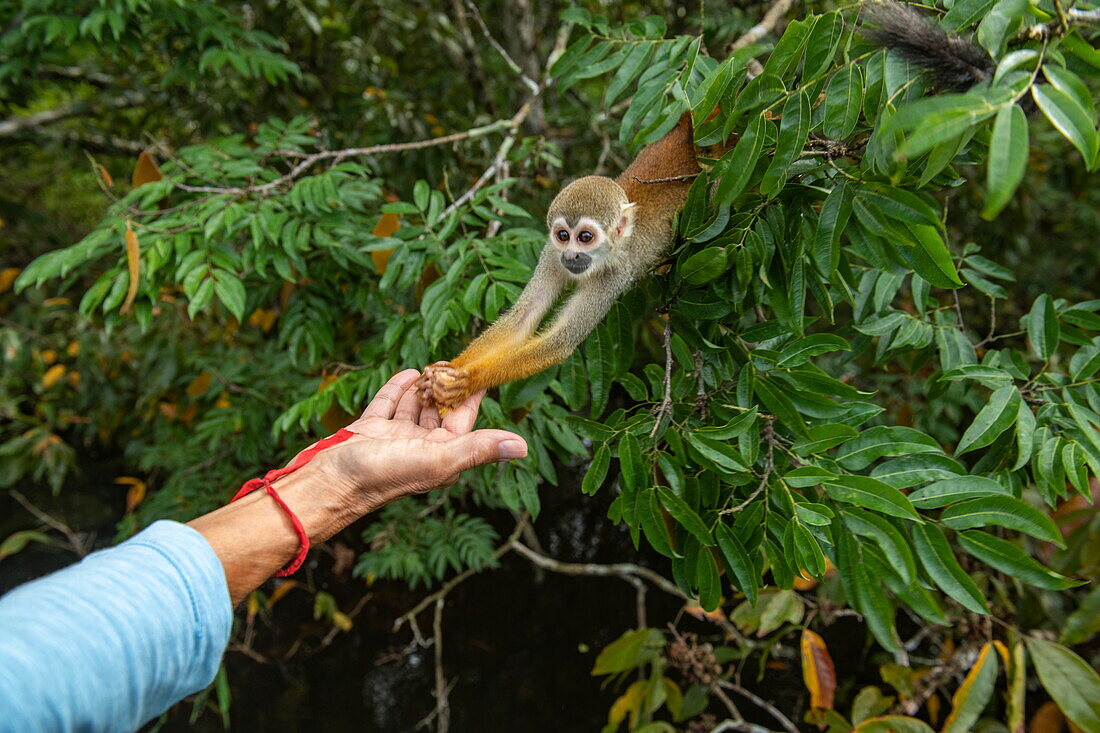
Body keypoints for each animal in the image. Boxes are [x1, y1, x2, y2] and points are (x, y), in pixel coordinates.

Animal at [420, 0, 1007, 413]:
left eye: (587, 237)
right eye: (563, 236)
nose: (572, 257)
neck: (605, 254)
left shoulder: (613, 274)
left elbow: (559, 342)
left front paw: (463, 382)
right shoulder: (546, 257)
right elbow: (523, 320)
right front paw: (447, 372)